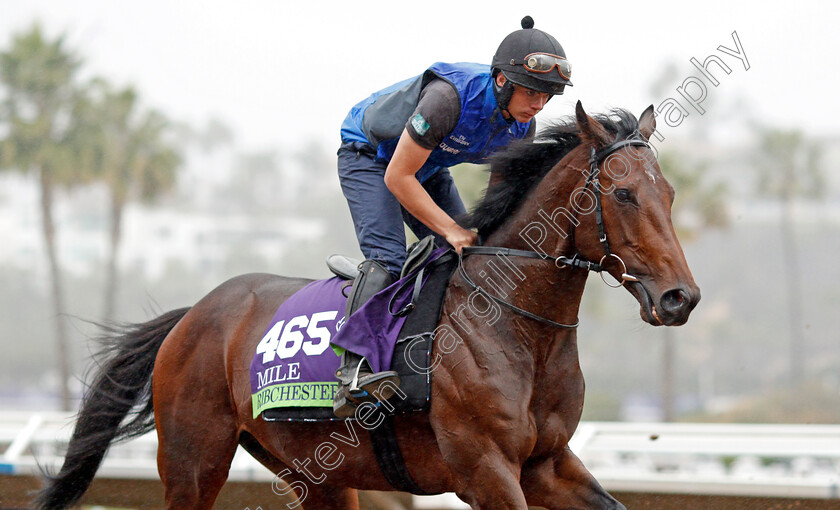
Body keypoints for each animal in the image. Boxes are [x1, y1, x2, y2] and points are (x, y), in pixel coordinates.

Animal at [36, 101, 700, 508]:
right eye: (623, 193)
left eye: (669, 193)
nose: (680, 298)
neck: (518, 327)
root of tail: (194, 314)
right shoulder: (485, 469)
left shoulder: (548, 463)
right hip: (192, 461)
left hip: (317, 474)